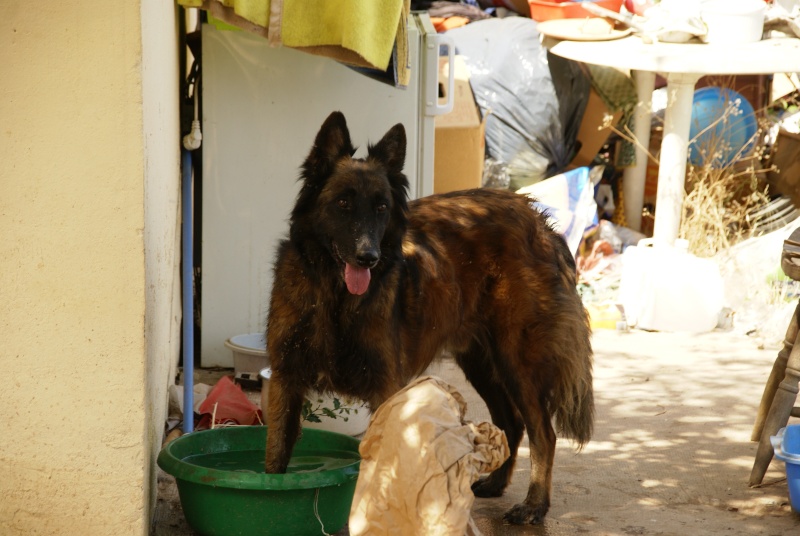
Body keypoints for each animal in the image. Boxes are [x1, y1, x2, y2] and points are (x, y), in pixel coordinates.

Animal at [264, 110, 592, 524]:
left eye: (382, 207)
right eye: (342, 203)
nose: (368, 258)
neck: (334, 299)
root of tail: (539, 220)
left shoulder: (384, 388)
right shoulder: (286, 380)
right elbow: (276, 460)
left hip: (517, 362)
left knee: (543, 434)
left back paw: (534, 504)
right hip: (482, 363)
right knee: (512, 424)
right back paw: (496, 483)